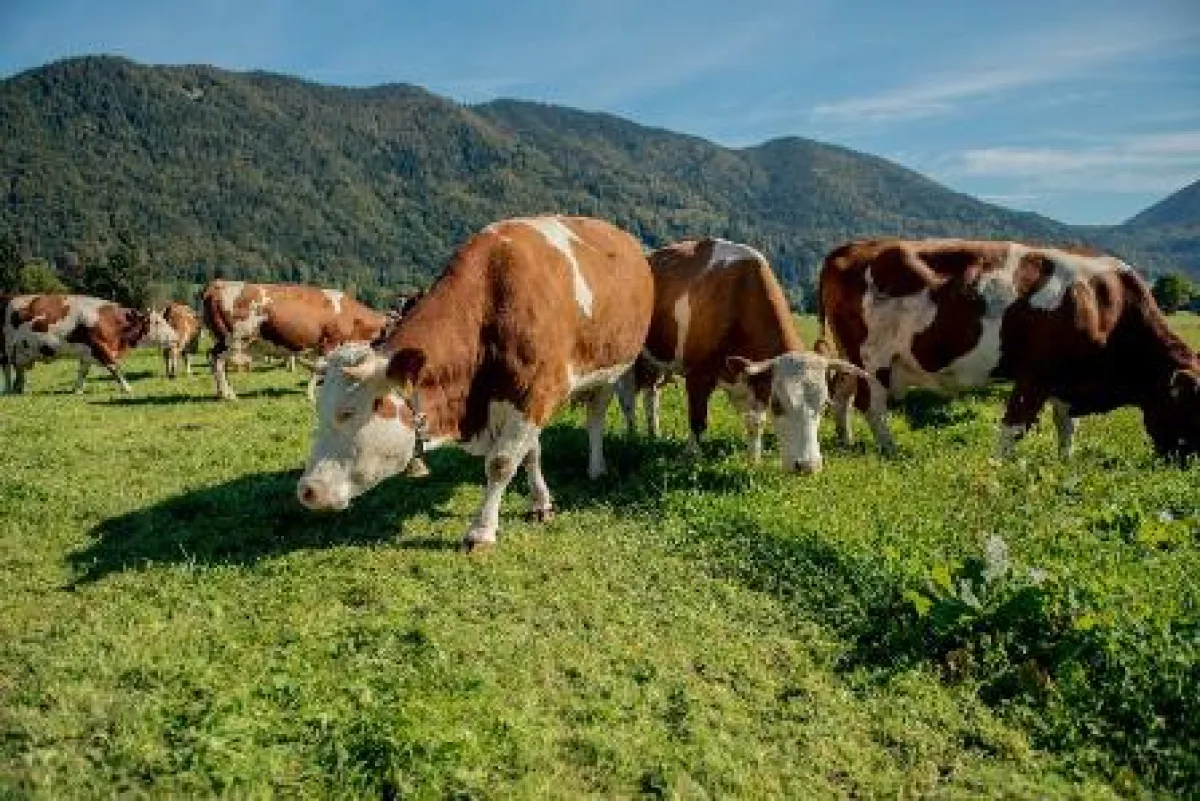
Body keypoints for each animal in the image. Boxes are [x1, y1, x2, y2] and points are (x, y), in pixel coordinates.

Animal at [2, 294, 155, 394]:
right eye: (153, 322)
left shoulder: (87, 352)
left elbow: (83, 370)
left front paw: (77, 389)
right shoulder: (99, 346)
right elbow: (114, 367)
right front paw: (127, 387)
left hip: (21, 351)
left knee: (19, 369)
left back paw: (21, 389)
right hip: (7, 348)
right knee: (7, 367)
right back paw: (9, 390)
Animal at [200, 280, 391, 401]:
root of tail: (218, 284)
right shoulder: (329, 345)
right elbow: (319, 371)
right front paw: (311, 396)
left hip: (224, 340)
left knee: (214, 359)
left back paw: (221, 393)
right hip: (234, 339)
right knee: (218, 361)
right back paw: (229, 395)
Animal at [296, 215, 654, 550]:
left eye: (347, 413)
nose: (307, 490)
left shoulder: (536, 393)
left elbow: (500, 463)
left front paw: (481, 532)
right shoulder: (521, 402)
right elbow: (530, 453)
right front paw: (540, 503)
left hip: (612, 369)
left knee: (595, 419)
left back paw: (597, 468)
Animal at [616, 237, 878, 473]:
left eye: (825, 405)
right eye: (778, 404)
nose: (807, 466)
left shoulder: (758, 380)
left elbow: (756, 423)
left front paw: (754, 461)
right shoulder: (698, 375)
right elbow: (698, 420)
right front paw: (693, 457)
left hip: (656, 363)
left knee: (651, 395)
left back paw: (654, 433)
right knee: (628, 400)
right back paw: (632, 437)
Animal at [817, 238, 1200, 462]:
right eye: (1195, 409)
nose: (1188, 464)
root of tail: (853, 246)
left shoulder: (1066, 379)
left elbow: (1067, 426)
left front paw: (1066, 462)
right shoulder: (1035, 374)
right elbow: (1015, 426)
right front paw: (997, 467)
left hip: (851, 358)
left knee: (841, 396)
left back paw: (846, 441)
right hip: (873, 360)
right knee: (871, 406)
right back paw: (892, 450)